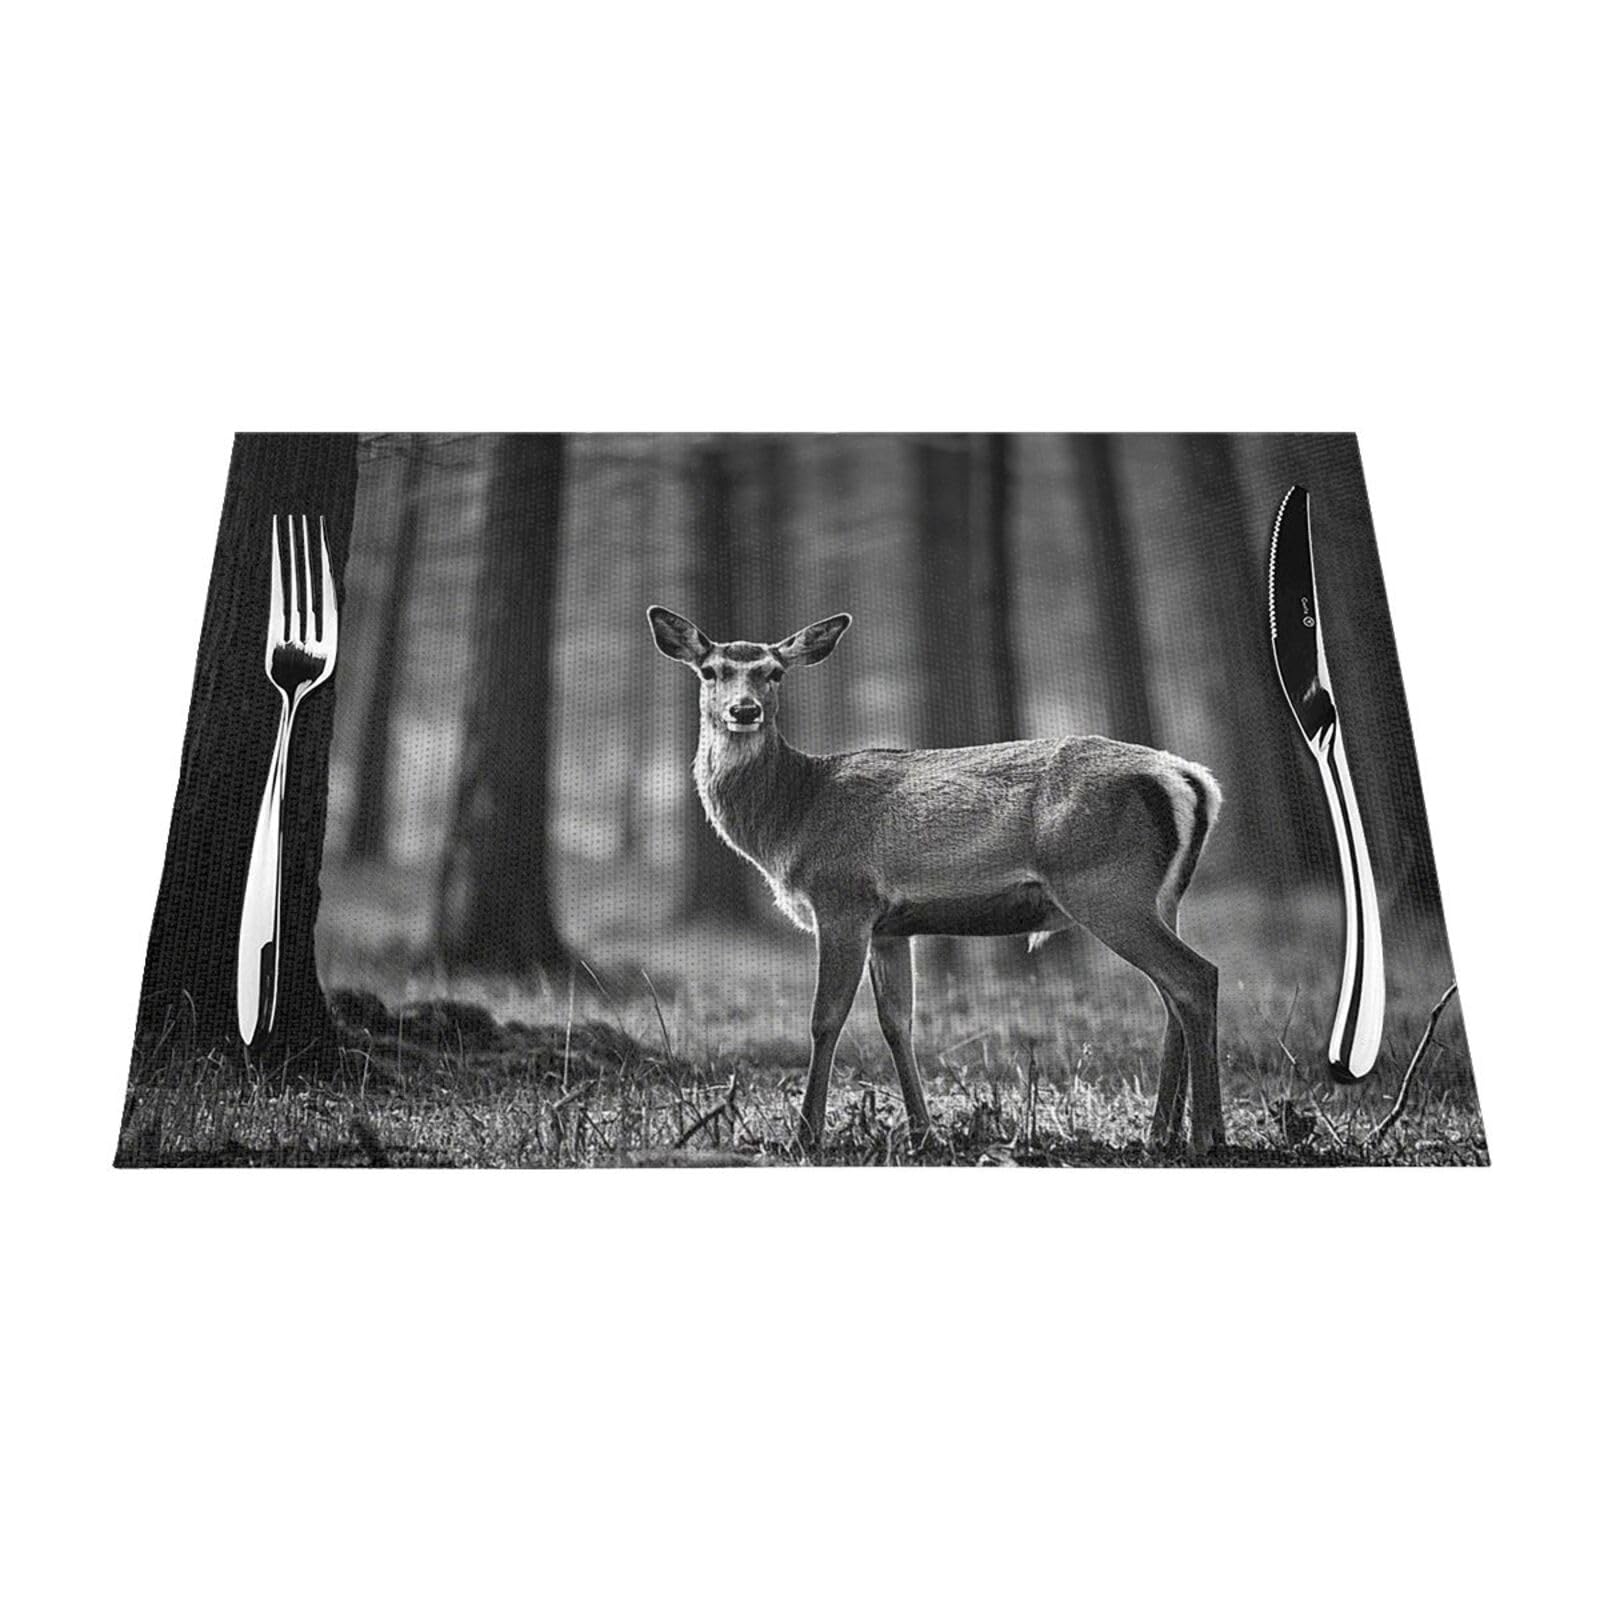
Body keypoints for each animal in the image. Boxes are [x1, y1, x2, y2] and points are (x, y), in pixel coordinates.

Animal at [648, 605, 1226, 1157]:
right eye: (711, 671)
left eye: (774, 673)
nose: (744, 710)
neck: (792, 818)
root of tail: (1191, 778)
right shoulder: (889, 927)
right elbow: (896, 1022)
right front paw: (923, 1133)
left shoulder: (843, 898)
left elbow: (825, 1017)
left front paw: (806, 1135)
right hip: (1160, 895)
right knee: (1171, 994)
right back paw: (1162, 1133)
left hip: (1104, 884)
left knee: (1194, 976)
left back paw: (1205, 1135)